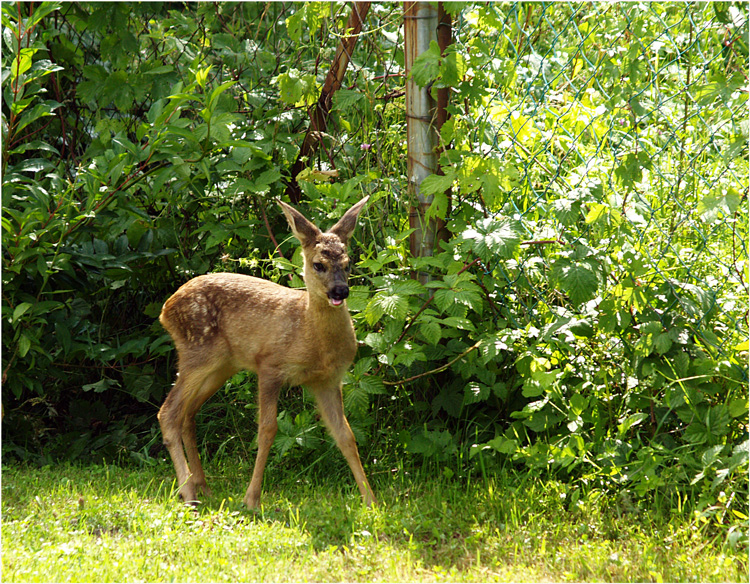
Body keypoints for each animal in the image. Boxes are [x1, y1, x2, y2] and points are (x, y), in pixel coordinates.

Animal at [156, 196, 376, 506]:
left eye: (348, 262)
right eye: (318, 264)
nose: (340, 291)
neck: (310, 335)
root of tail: (166, 309)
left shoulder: (328, 380)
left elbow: (345, 434)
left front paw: (371, 500)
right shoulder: (270, 365)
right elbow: (267, 430)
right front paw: (252, 500)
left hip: (223, 365)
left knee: (188, 413)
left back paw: (203, 486)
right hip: (197, 351)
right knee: (168, 412)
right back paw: (188, 493)